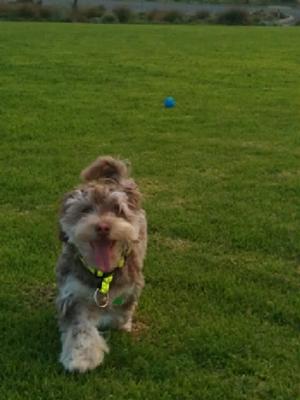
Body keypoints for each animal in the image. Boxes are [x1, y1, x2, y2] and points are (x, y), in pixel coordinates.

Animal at [55, 155, 147, 372]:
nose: (103, 226)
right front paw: (81, 358)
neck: (103, 274)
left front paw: (117, 321)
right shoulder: (73, 293)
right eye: (85, 210)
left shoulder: (131, 286)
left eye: (117, 209)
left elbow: (121, 313)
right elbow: (81, 327)